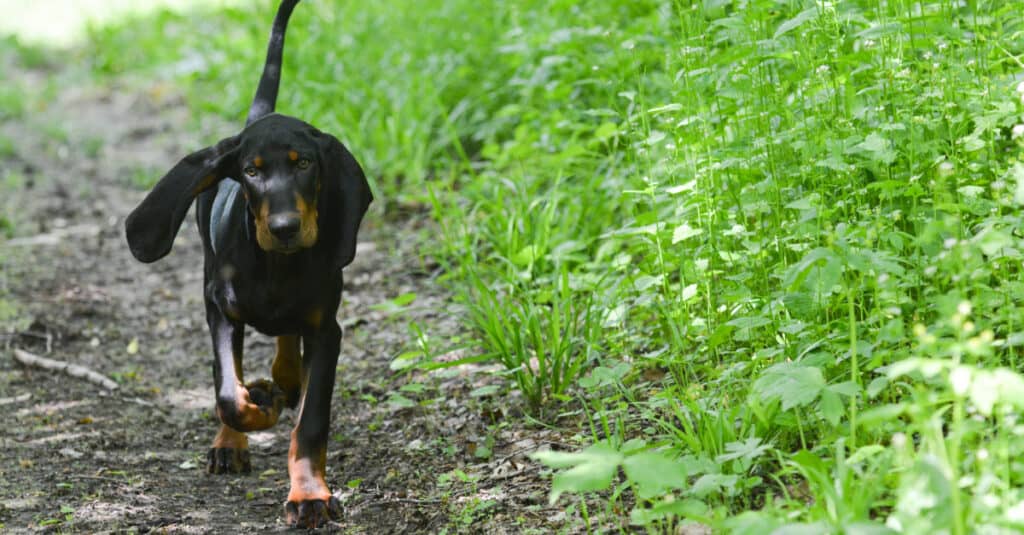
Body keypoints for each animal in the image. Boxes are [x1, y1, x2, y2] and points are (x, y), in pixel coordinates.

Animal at [122, 0, 372, 524]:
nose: (284, 228)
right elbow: (227, 392)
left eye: (305, 164)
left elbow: (311, 422)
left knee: (287, 341)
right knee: (234, 374)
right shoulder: (220, 309)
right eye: (251, 172)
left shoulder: (328, 330)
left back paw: (284, 378)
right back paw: (234, 438)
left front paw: (309, 495)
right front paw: (258, 408)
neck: (277, 266)